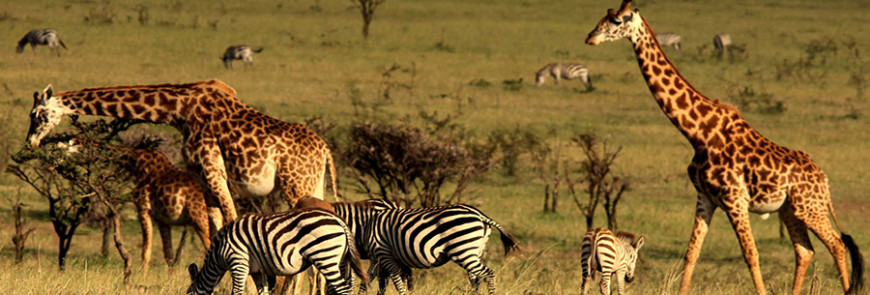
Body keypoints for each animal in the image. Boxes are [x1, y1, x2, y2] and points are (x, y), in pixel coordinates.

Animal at [27, 81, 340, 224]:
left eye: (36, 114)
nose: (31, 142)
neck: (179, 110)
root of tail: (325, 149)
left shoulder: (213, 171)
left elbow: (231, 221)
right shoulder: (202, 177)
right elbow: (216, 226)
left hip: (295, 184)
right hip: (314, 183)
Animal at [187, 208, 368, 295]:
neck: (219, 253)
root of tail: (339, 220)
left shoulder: (238, 263)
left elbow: (236, 292)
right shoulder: (257, 271)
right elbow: (263, 293)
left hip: (325, 258)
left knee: (343, 290)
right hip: (340, 261)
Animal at [360, 205, 520, 294]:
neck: (366, 227)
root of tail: (481, 215)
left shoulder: (384, 253)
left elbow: (396, 282)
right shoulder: (376, 258)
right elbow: (367, 280)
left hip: (462, 250)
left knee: (489, 274)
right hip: (474, 252)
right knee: (476, 278)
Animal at [584, 1, 864, 294]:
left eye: (618, 21)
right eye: (605, 15)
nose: (590, 37)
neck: (699, 133)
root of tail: (824, 180)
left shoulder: (735, 199)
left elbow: (751, 254)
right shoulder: (705, 198)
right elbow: (692, 253)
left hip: (810, 208)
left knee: (836, 243)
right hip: (790, 210)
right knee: (805, 250)